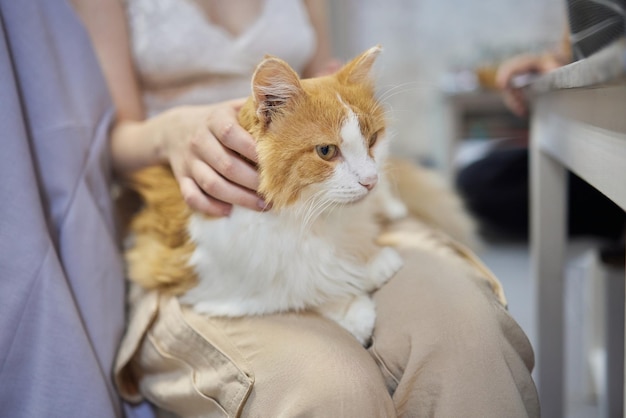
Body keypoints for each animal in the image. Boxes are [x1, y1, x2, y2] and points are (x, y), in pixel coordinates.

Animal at [119, 46, 482, 346]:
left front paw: (370, 259)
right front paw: (357, 299)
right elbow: (301, 285)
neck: (310, 215)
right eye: (326, 151)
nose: (370, 180)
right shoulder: (196, 271)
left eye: (372, 140)